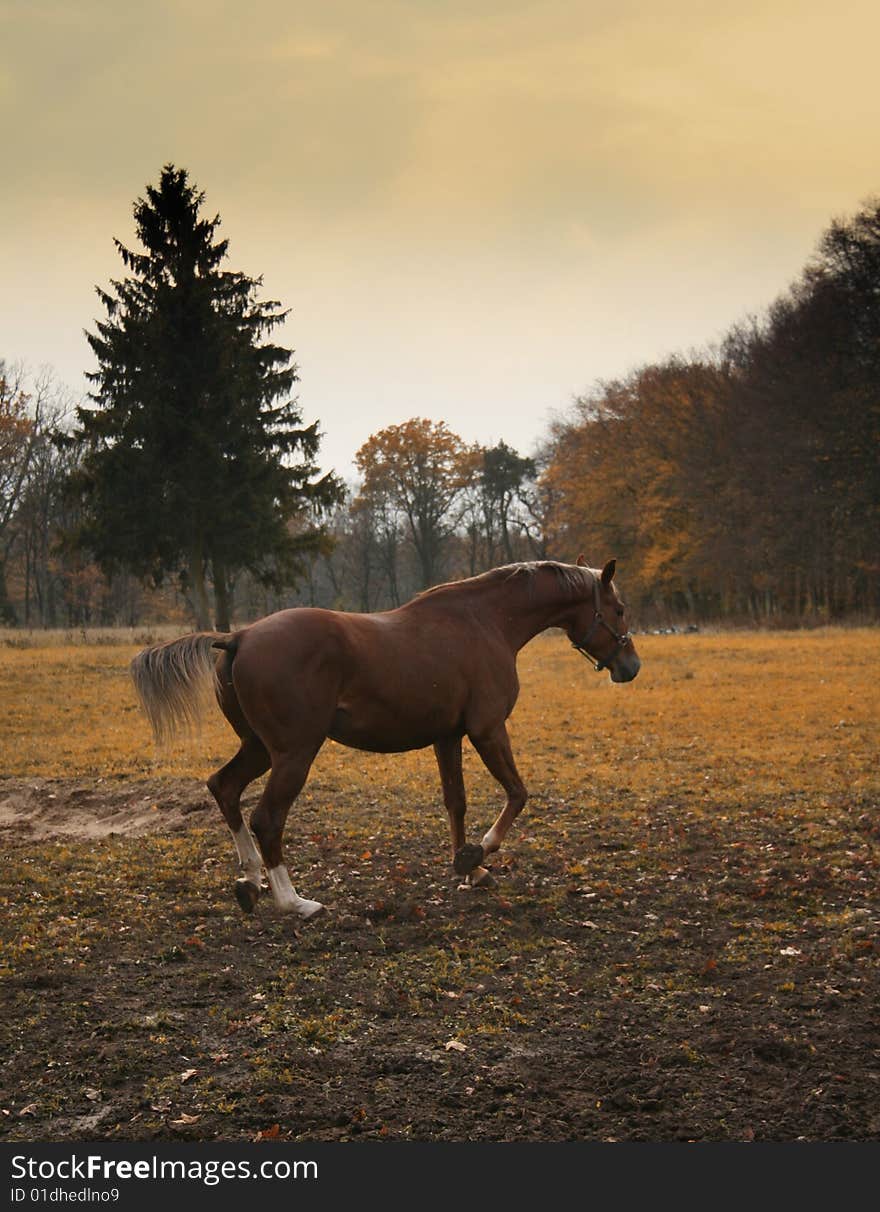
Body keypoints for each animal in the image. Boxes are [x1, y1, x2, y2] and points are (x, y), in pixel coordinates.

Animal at [129, 557, 640, 916]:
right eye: (618, 609)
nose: (631, 666)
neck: (485, 621)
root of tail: (239, 637)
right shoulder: (488, 730)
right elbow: (517, 794)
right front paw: (478, 854)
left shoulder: (448, 736)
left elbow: (456, 802)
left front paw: (469, 869)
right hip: (293, 753)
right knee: (266, 818)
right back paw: (294, 902)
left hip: (259, 749)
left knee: (225, 788)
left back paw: (251, 883)